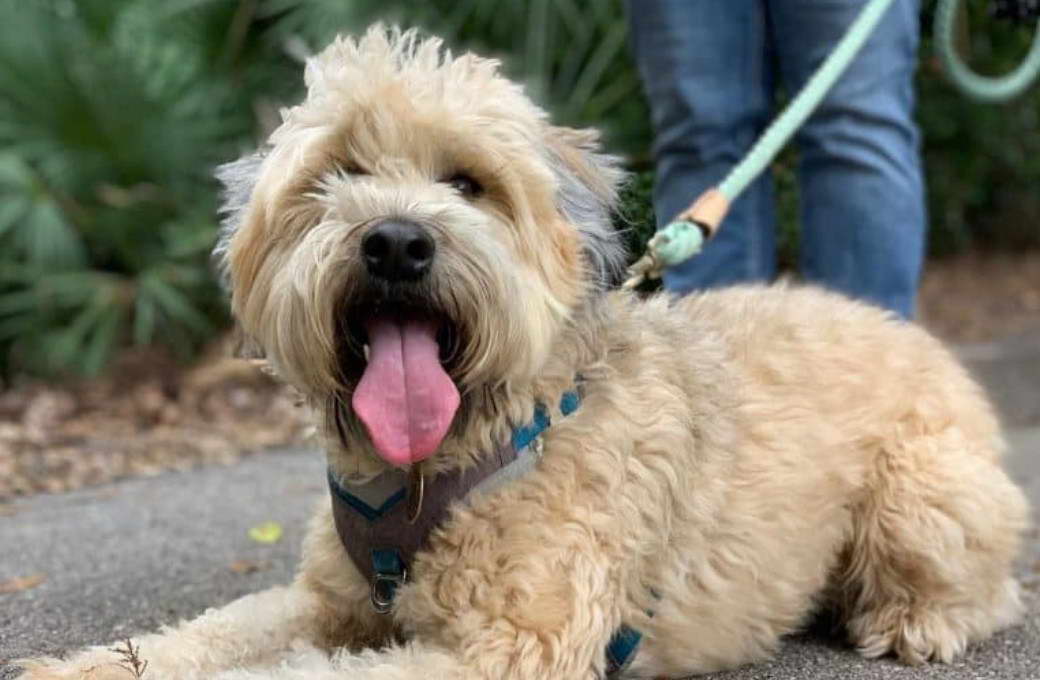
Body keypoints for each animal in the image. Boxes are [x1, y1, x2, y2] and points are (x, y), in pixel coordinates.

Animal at [20, 25, 1027, 680]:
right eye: (337, 174)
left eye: (468, 183)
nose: (395, 243)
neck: (439, 468)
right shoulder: (324, 601)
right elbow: (213, 630)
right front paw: (89, 665)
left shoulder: (501, 648)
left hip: (918, 499)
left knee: (988, 590)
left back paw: (913, 620)